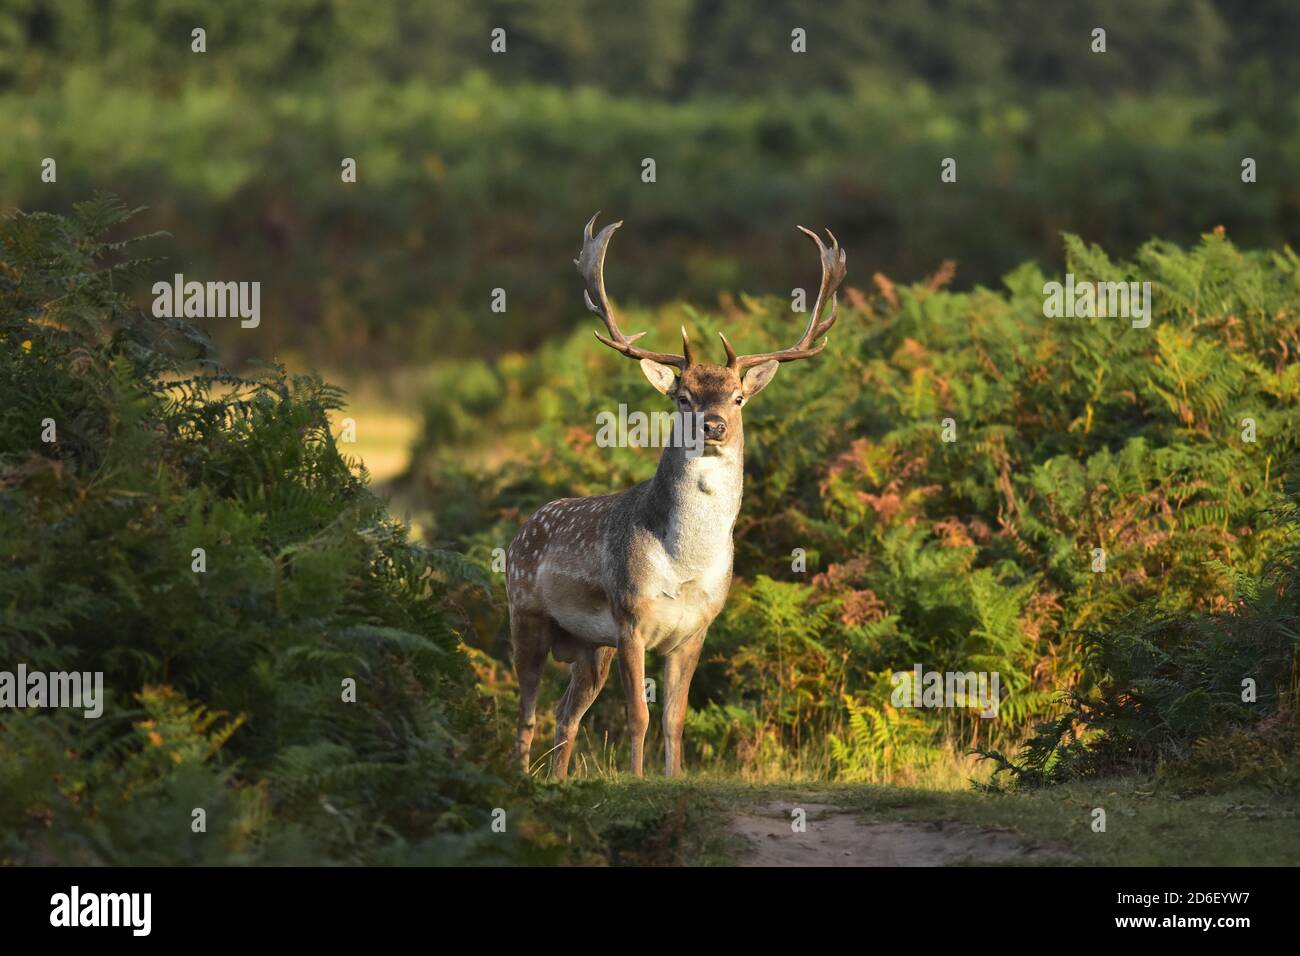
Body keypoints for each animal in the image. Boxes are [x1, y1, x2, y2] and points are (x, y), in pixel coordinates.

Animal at [506, 213, 846, 779]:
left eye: (738, 396)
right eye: (683, 396)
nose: (714, 425)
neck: (683, 566)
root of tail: (520, 531)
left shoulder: (695, 629)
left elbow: (675, 717)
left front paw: (673, 777)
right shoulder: (630, 617)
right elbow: (639, 716)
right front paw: (637, 780)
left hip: (589, 646)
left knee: (565, 714)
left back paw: (557, 779)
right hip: (524, 611)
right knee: (527, 708)